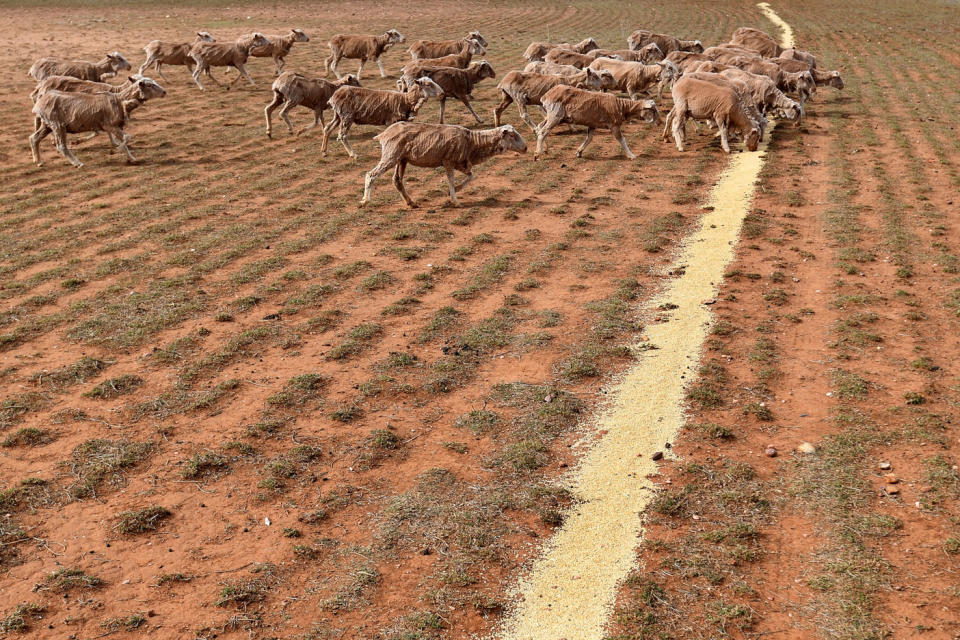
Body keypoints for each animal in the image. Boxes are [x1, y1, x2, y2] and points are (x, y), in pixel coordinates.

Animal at [29, 75, 168, 168]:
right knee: (61, 146)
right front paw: (115, 151)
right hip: (57, 125)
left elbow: (124, 140)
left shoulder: (115, 126)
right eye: (149, 85)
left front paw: (131, 158)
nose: (164, 92)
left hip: (47, 125)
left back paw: (39, 161)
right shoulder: (110, 125)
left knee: (34, 138)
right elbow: (126, 138)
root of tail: (39, 102)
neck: (119, 99)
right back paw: (77, 163)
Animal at [360, 120, 524, 208]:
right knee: (371, 175)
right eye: (512, 135)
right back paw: (365, 201)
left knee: (397, 181)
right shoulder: (448, 161)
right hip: (391, 155)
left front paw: (455, 191)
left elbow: (471, 176)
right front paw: (455, 200)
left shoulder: (460, 162)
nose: (526, 148)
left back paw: (411, 203)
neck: (473, 142)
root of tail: (384, 134)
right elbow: (451, 179)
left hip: (401, 159)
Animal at [492, 68, 620, 131]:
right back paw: (534, 129)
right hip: (519, 98)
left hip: (507, 97)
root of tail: (503, 81)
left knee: (497, 110)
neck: (570, 81)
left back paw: (497, 126)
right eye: (594, 76)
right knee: (524, 115)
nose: (600, 86)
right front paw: (572, 128)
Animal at [532, 84, 660, 159]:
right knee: (543, 132)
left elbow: (589, 139)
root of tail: (547, 95)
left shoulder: (592, 124)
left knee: (539, 128)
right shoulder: (614, 125)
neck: (622, 107)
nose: (660, 122)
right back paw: (537, 153)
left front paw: (579, 152)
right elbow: (622, 140)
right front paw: (632, 155)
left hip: (551, 116)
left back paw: (544, 149)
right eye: (653, 110)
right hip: (555, 115)